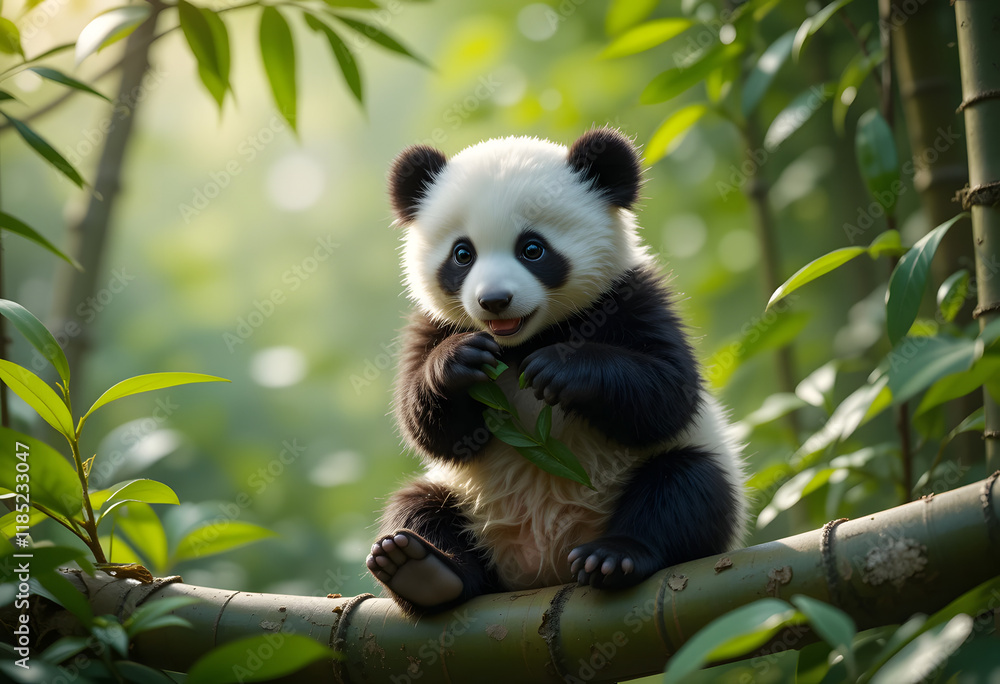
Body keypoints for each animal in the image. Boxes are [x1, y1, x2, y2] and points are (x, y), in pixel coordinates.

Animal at [366, 128, 747, 615]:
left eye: (532, 249)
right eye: (462, 254)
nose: (494, 301)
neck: (523, 340)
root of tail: (543, 568)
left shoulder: (631, 296)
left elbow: (669, 395)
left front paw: (560, 369)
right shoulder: (431, 325)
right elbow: (431, 430)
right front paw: (459, 363)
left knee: (686, 487)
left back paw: (613, 556)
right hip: (469, 503)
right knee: (419, 507)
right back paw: (420, 569)